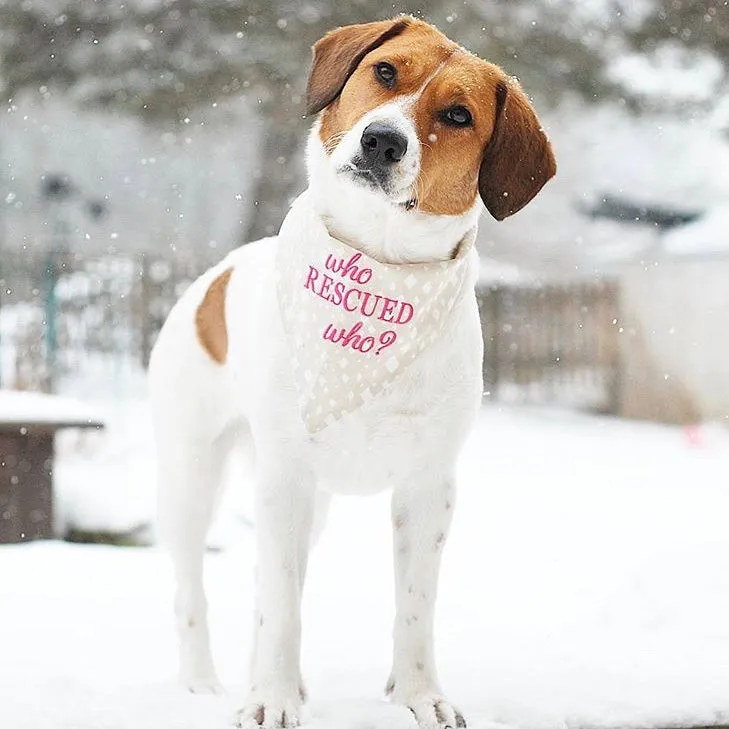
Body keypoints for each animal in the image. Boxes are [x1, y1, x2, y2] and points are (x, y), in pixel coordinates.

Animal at [151, 17, 556, 728]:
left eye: (458, 115)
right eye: (385, 72)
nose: (382, 140)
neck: (376, 260)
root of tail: (213, 277)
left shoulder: (427, 484)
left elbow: (414, 608)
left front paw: (419, 696)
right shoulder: (285, 477)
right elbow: (280, 609)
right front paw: (272, 700)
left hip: (310, 508)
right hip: (193, 477)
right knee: (195, 590)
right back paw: (204, 684)